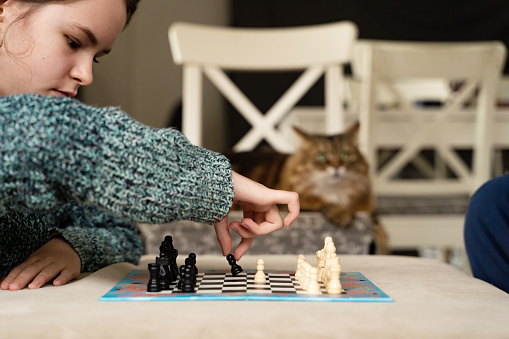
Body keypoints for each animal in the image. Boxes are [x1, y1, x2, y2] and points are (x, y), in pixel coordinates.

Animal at [228, 123, 386, 255]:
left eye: (345, 155)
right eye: (321, 157)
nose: (336, 167)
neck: (335, 193)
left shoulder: (369, 211)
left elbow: (381, 231)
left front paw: (381, 247)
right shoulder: (289, 205)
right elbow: (321, 205)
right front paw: (341, 213)